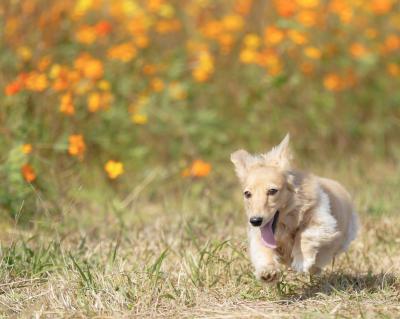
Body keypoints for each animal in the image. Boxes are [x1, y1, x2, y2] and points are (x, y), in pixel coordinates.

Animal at [231, 135, 360, 282]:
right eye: (247, 194)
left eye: (272, 191)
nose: (255, 221)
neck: (285, 223)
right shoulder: (258, 235)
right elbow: (262, 250)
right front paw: (267, 271)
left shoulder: (323, 222)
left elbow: (303, 234)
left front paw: (301, 260)